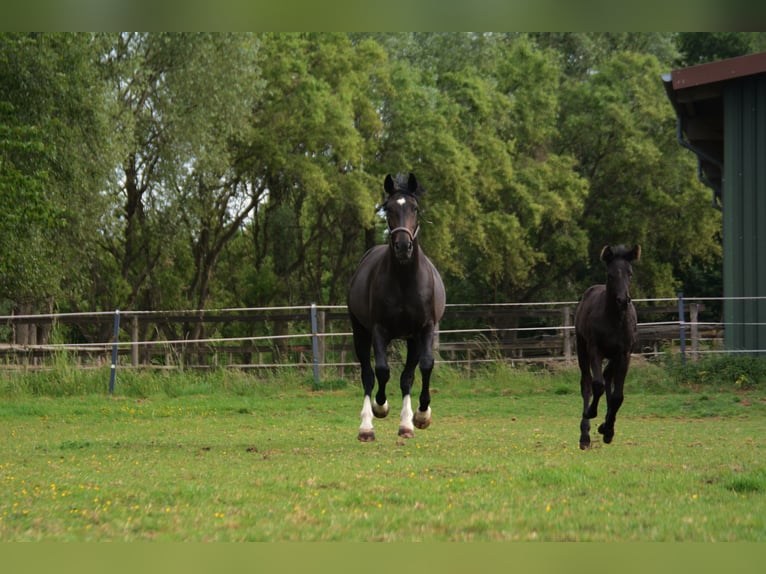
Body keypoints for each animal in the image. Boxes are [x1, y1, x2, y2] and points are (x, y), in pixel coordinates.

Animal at [347, 173, 446, 442]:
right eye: (388, 208)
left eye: (415, 209)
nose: (403, 246)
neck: (404, 281)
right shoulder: (379, 330)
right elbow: (381, 371)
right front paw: (380, 407)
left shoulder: (424, 329)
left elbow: (424, 367)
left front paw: (421, 416)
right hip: (360, 332)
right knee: (367, 375)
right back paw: (366, 427)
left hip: (411, 339)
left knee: (407, 377)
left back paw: (406, 425)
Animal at [575, 244, 641, 450]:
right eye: (610, 275)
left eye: (630, 273)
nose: (623, 300)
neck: (614, 319)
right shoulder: (595, 349)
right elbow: (597, 385)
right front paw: (592, 414)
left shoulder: (624, 354)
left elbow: (617, 396)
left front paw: (608, 429)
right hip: (582, 348)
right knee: (587, 383)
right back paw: (585, 435)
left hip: (613, 356)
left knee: (608, 378)